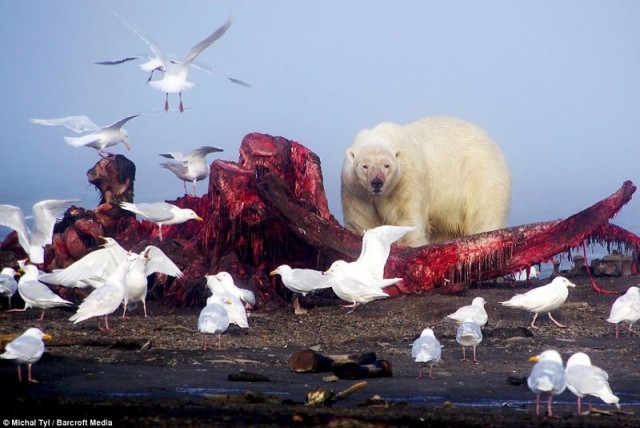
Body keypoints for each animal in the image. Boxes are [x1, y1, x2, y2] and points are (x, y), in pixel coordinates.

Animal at [342, 115, 512, 246]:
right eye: (365, 165)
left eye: (386, 165)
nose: (377, 182)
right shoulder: (356, 191)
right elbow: (361, 219)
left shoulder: (408, 181)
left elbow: (407, 216)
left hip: (482, 177)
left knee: (484, 214)